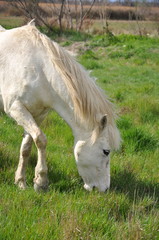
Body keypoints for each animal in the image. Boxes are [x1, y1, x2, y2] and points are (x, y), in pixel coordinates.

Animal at [0, 21, 120, 192]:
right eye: (106, 151)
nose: (104, 189)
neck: (37, 69)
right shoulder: (16, 108)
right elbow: (41, 139)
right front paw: (41, 181)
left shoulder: (37, 114)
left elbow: (27, 147)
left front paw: (21, 182)